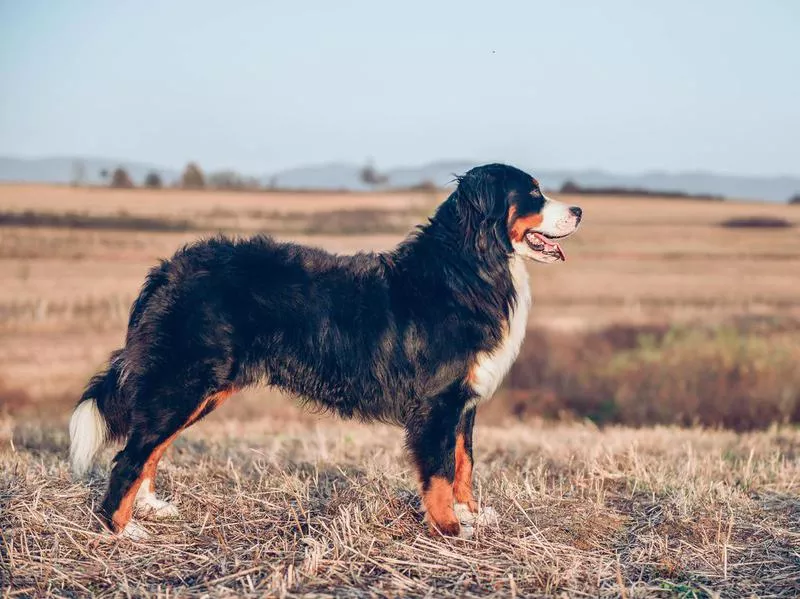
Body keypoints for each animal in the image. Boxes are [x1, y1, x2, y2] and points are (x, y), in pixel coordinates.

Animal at [69, 164, 580, 540]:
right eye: (533, 193)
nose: (578, 209)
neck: (470, 266)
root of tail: (168, 270)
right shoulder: (437, 402)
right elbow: (438, 471)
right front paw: (450, 529)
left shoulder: (463, 402)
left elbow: (463, 463)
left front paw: (471, 513)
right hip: (184, 381)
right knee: (130, 457)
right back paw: (120, 531)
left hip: (200, 388)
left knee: (149, 448)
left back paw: (150, 507)